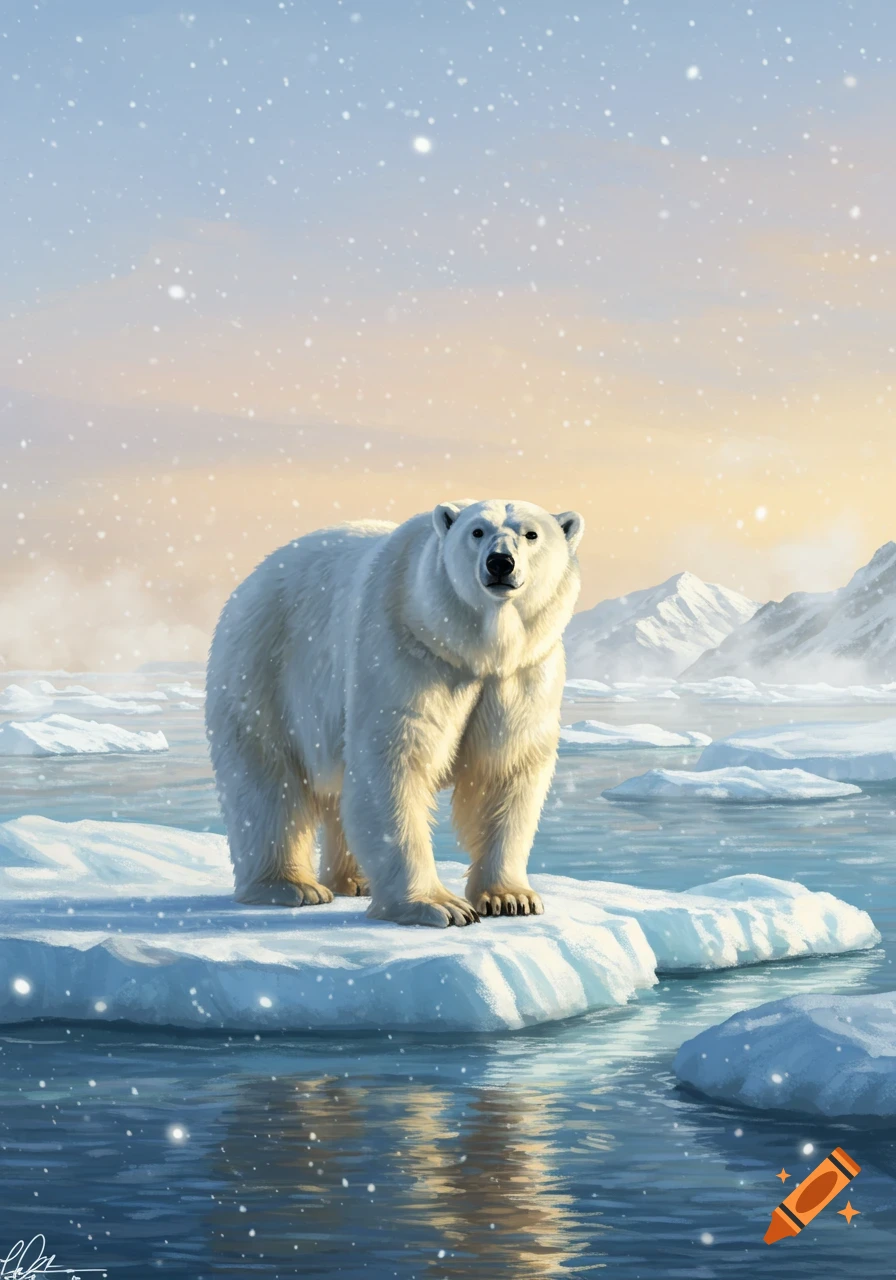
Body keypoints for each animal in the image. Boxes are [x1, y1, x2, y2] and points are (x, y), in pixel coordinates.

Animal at [205, 498, 584, 927]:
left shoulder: (520, 675)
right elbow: (393, 764)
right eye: (477, 531)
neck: (473, 649)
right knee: (268, 781)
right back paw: (291, 886)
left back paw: (354, 881)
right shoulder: (406, 649)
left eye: (531, 534)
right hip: (264, 668)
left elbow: (505, 769)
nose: (500, 562)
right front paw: (440, 906)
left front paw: (511, 898)